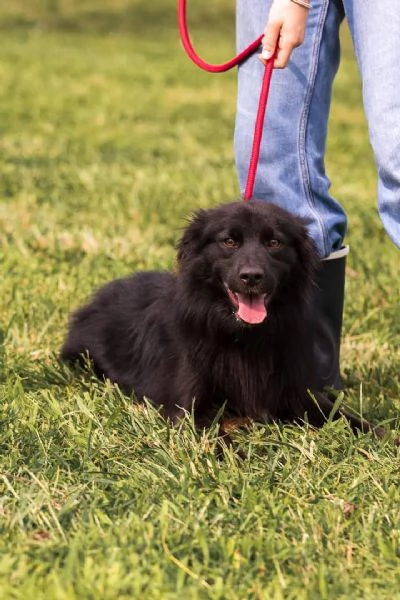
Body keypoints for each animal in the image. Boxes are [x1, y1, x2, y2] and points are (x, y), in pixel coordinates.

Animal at [61, 202, 378, 436]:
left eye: (274, 242)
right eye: (229, 241)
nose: (251, 277)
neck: (241, 336)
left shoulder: (297, 390)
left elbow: (343, 414)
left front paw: (379, 436)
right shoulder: (189, 407)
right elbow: (216, 436)